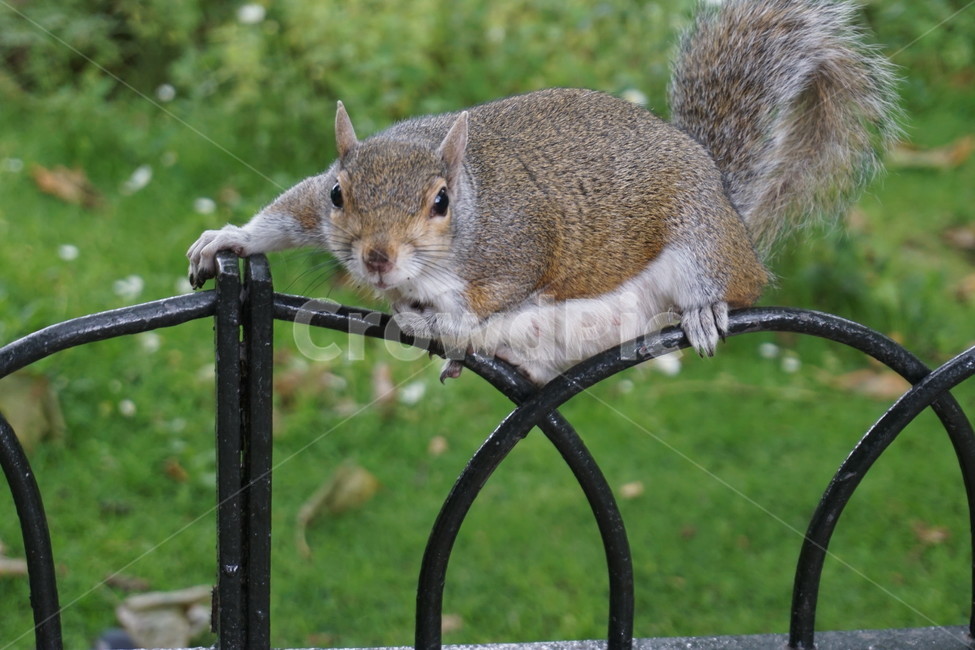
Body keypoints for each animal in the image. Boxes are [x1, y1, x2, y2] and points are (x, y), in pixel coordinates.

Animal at [187, 0, 899, 385]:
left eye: (440, 203)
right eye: (339, 194)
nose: (377, 259)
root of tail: (724, 196)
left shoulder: (517, 249)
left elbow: (490, 296)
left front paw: (444, 319)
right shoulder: (316, 206)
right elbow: (285, 216)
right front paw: (229, 238)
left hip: (703, 240)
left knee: (730, 283)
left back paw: (703, 310)